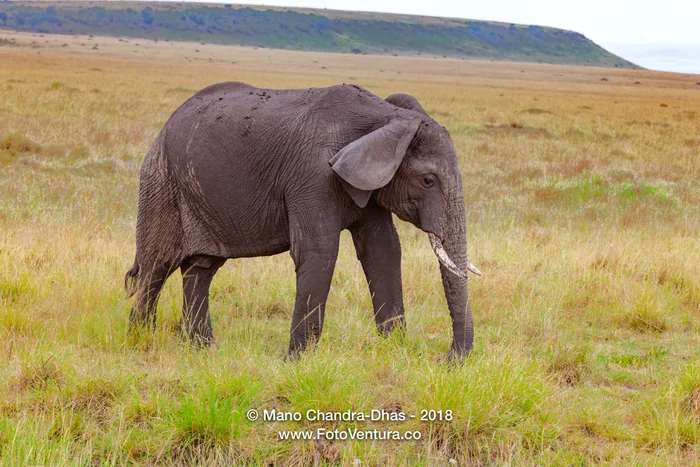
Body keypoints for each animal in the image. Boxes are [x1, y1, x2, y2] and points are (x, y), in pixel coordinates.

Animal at [125, 81, 481, 358]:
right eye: (428, 181)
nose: (447, 359)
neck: (386, 117)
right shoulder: (314, 175)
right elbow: (319, 252)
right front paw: (296, 362)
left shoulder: (369, 180)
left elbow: (383, 249)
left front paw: (392, 349)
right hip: (161, 180)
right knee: (157, 267)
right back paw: (141, 343)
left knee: (200, 268)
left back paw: (203, 349)